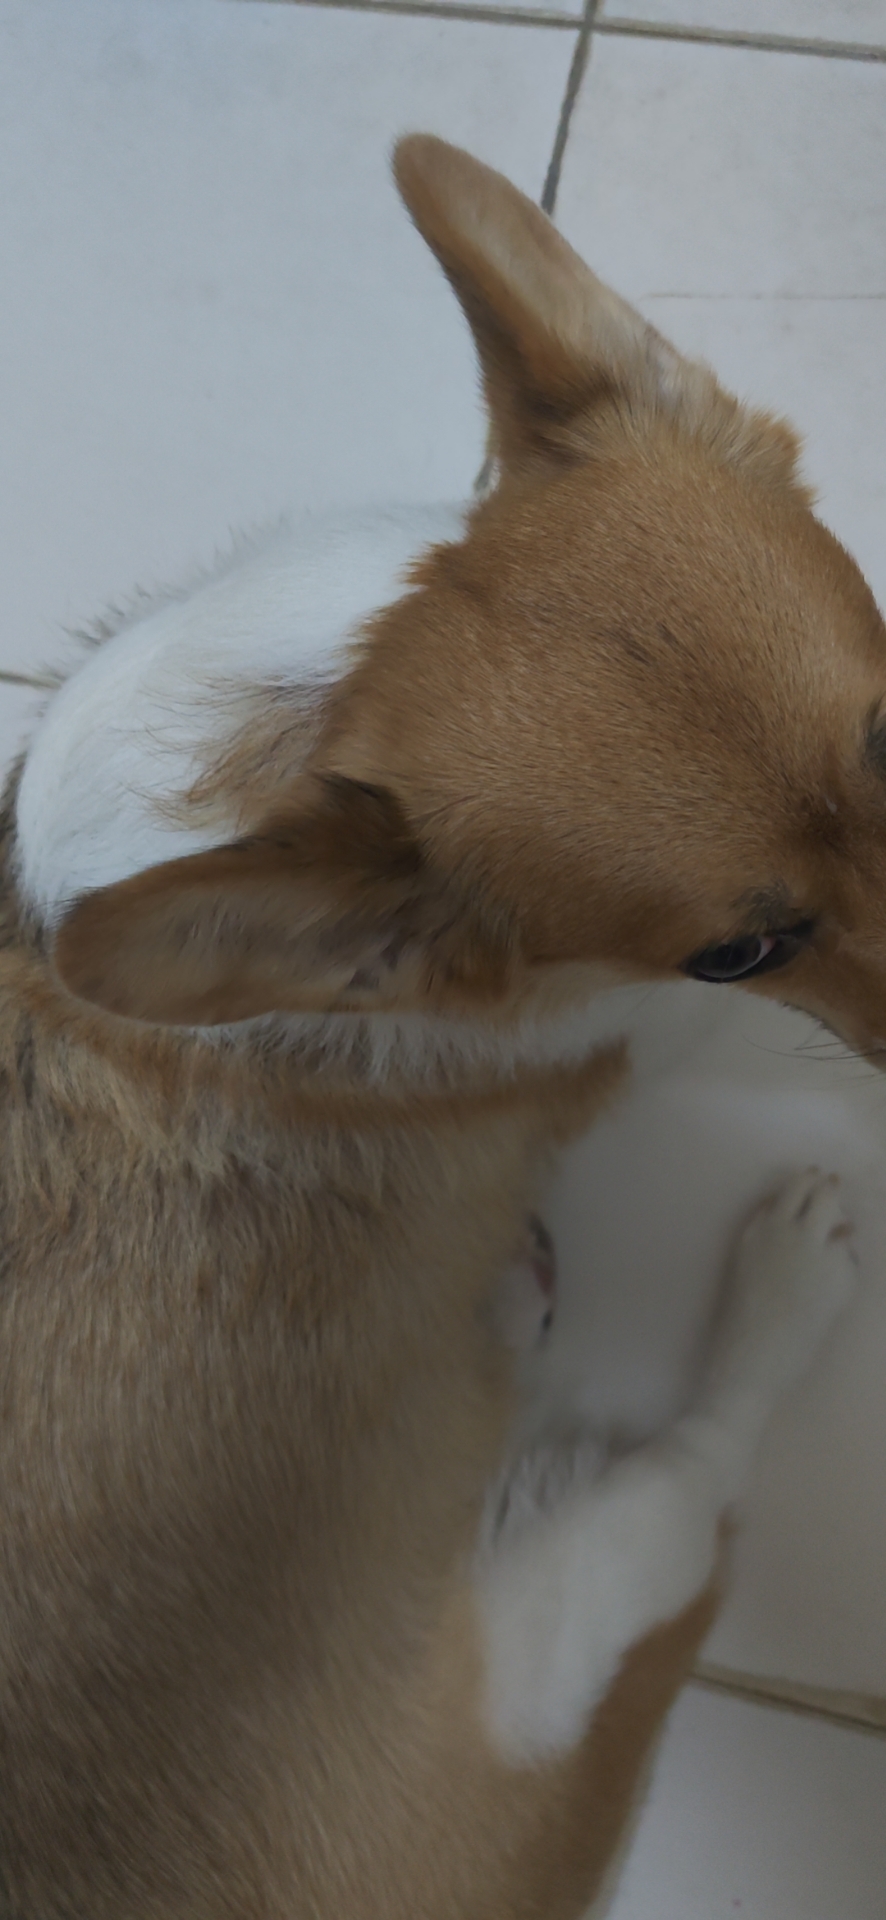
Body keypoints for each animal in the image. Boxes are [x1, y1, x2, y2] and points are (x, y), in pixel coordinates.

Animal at [0, 133, 879, 1917]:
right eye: (736, 950)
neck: (303, 709)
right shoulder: (645, 1022)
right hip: (578, 1607)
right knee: (698, 1466)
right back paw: (783, 1283)